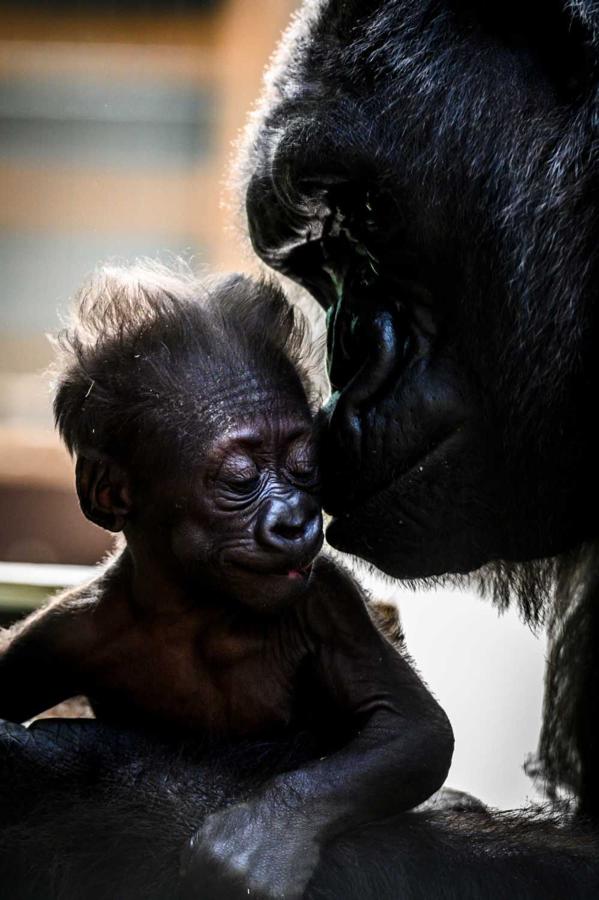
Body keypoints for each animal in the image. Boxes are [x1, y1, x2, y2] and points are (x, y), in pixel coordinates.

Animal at [0, 268, 452, 900]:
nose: (296, 520)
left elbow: (411, 729)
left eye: (305, 469)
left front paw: (262, 838)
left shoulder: (329, 601)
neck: (196, 605)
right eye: (239, 481)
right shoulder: (68, 627)